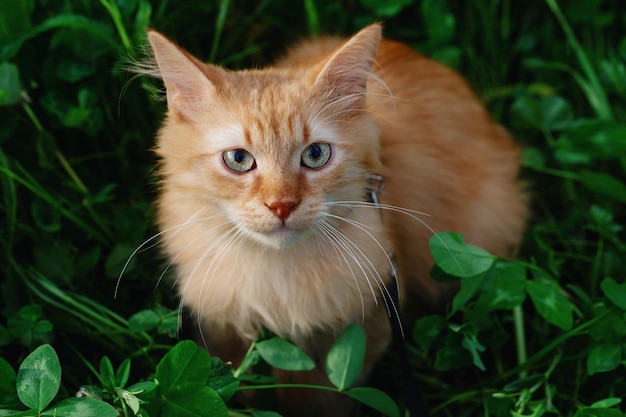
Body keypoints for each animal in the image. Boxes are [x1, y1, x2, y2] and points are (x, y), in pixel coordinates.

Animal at [141, 23, 528, 416]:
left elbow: (321, 396)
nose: (281, 205)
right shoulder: (222, 325)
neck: (279, 275)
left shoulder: (370, 320)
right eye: (238, 159)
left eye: (315, 155)